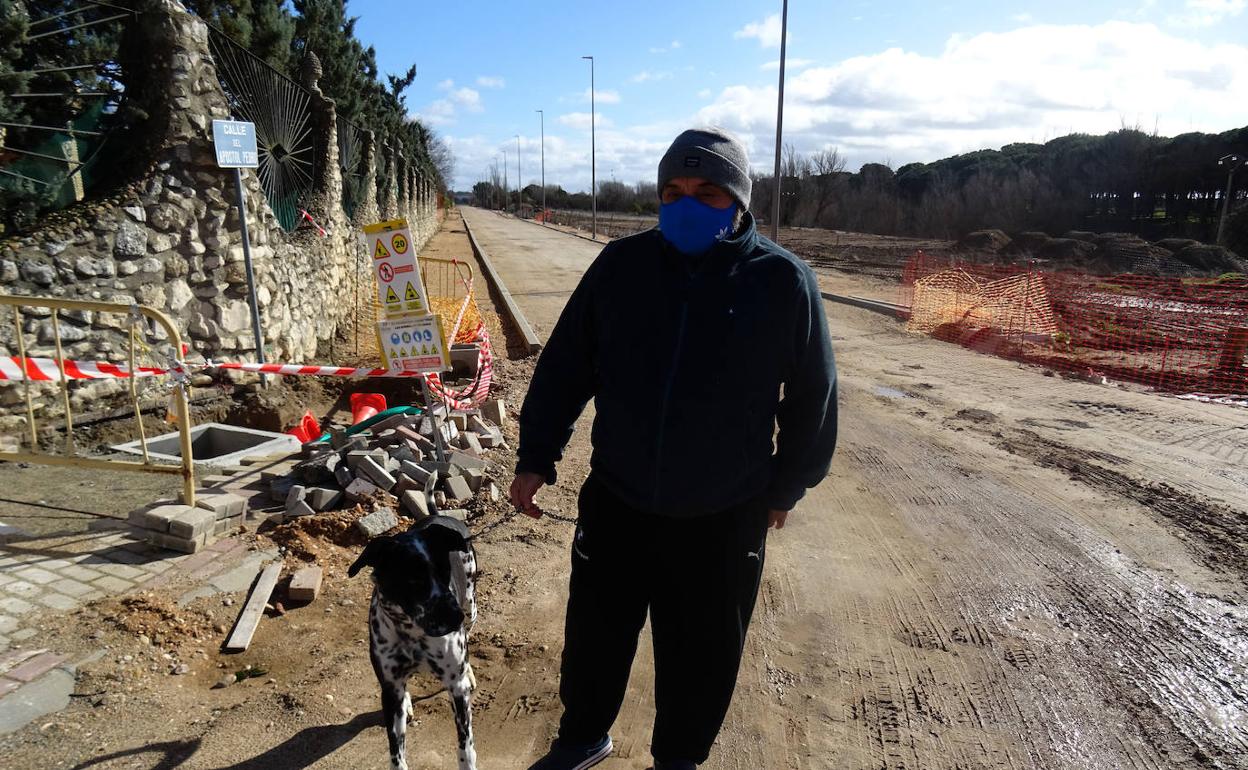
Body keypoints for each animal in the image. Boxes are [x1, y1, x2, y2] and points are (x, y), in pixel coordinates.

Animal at [349, 514, 479, 770]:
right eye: (412, 579)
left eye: (446, 570)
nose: (454, 617)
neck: (411, 632)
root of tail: (439, 514)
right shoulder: (390, 692)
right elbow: (396, 751)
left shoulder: (456, 688)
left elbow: (465, 744)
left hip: (471, 606)